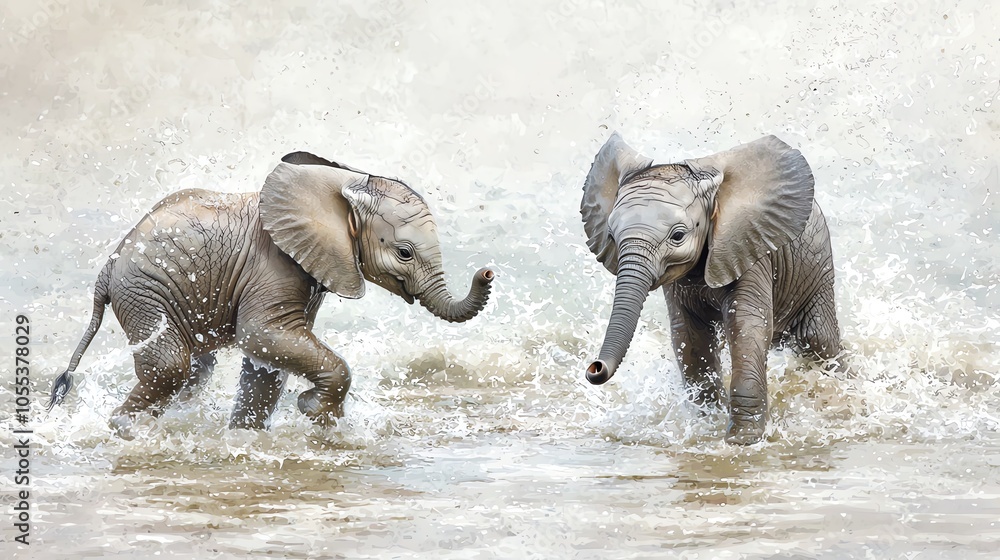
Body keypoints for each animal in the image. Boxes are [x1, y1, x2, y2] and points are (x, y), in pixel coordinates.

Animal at [47, 151, 494, 438]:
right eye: (404, 253)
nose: (487, 271)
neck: (341, 183)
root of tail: (107, 269)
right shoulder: (275, 264)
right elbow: (263, 335)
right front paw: (318, 416)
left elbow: (267, 359)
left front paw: (247, 439)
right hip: (144, 291)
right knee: (170, 365)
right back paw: (128, 431)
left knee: (194, 371)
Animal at [581, 133, 842, 445]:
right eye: (611, 236)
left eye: (678, 236)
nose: (594, 368)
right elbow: (690, 336)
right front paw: (705, 425)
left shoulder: (747, 246)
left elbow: (746, 326)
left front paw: (742, 440)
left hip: (816, 269)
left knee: (819, 342)